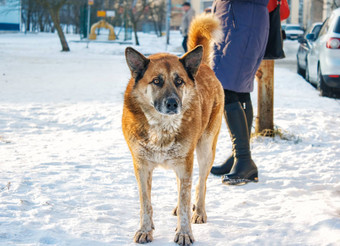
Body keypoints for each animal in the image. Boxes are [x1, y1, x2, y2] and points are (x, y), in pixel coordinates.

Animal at [122, 13, 223, 246]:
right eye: (157, 81)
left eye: (179, 81)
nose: (173, 103)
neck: (161, 127)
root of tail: (203, 66)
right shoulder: (142, 166)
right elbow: (146, 203)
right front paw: (145, 229)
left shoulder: (185, 163)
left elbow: (186, 201)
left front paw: (184, 232)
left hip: (204, 150)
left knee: (200, 185)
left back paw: (199, 212)